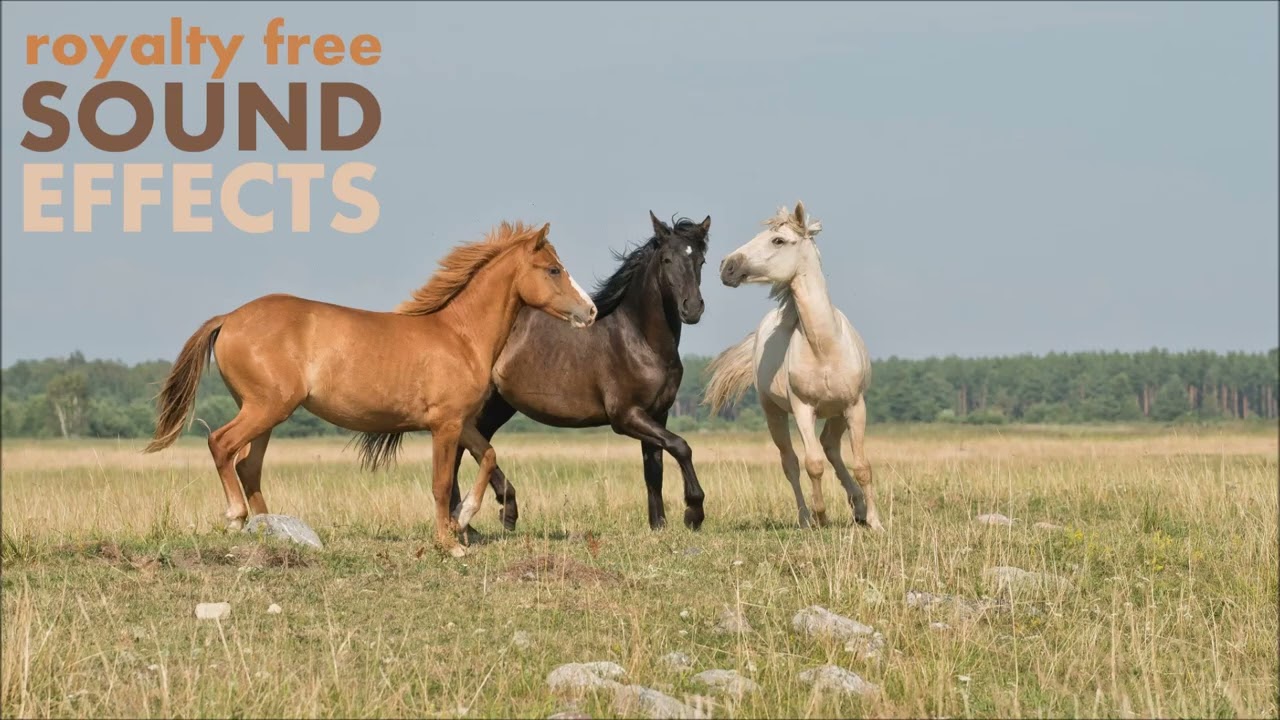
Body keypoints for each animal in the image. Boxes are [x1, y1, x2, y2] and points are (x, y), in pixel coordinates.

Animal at [145, 222, 597, 557]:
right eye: (553, 269)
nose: (590, 311)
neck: (460, 336)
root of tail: (230, 317)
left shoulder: (462, 422)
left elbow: (488, 456)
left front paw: (465, 518)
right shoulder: (445, 425)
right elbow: (440, 483)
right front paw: (450, 543)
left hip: (266, 413)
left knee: (248, 465)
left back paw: (272, 530)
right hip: (265, 408)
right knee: (221, 445)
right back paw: (237, 517)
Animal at [441, 212, 711, 531]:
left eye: (701, 260)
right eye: (667, 259)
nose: (692, 309)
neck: (640, 339)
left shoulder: (658, 413)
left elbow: (654, 468)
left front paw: (658, 525)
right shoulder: (626, 416)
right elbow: (681, 446)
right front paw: (693, 512)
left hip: (498, 406)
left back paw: (477, 518)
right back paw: (483, 515)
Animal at [704, 202, 882, 530]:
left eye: (778, 240)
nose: (727, 266)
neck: (824, 347)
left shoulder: (855, 406)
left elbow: (863, 465)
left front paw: (875, 522)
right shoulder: (803, 409)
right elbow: (812, 464)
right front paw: (821, 516)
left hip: (837, 412)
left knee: (830, 447)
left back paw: (859, 508)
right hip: (774, 413)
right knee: (791, 462)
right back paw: (805, 518)